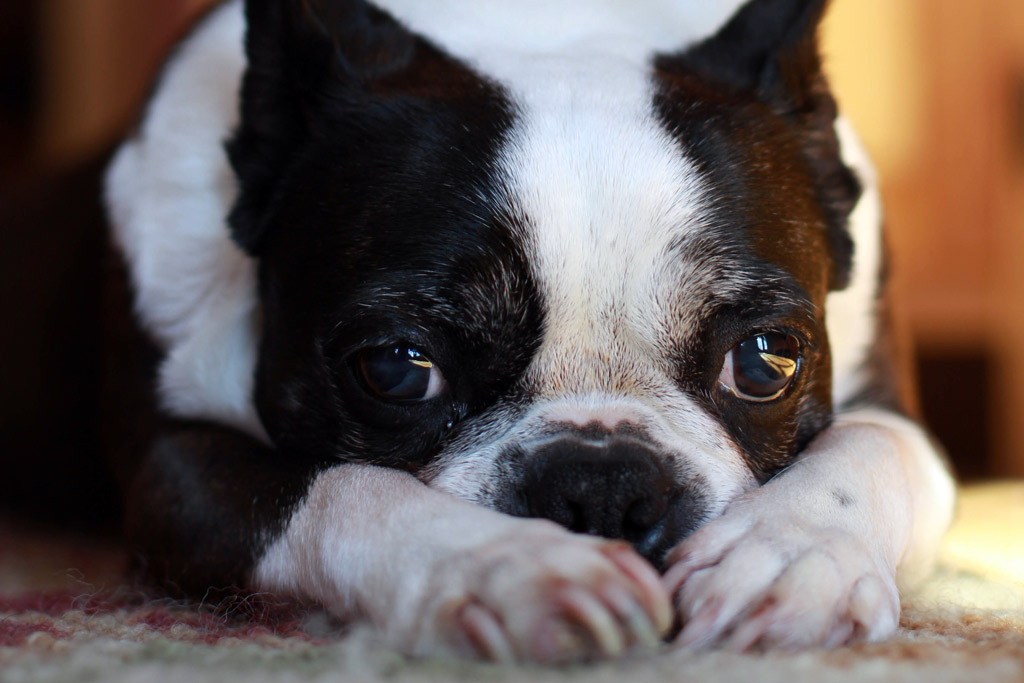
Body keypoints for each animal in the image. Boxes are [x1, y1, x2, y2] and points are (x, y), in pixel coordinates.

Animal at [103, 0, 950, 663]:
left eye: (766, 361)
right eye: (397, 368)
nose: (605, 485)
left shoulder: (891, 407)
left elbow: (872, 446)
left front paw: (790, 556)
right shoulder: (169, 466)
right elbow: (333, 485)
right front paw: (505, 566)